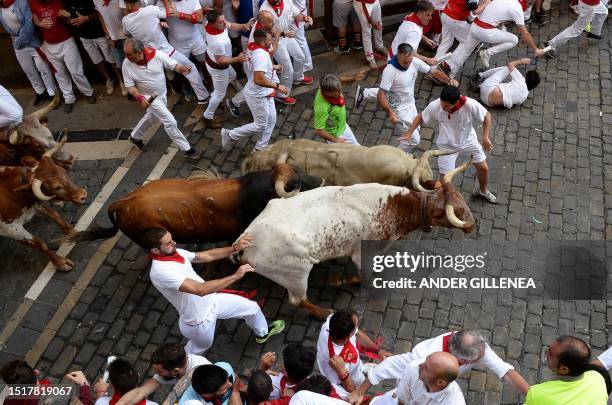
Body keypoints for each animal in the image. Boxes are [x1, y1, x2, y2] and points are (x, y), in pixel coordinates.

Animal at [0, 139, 87, 272]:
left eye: (63, 172)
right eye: (56, 187)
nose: (82, 195)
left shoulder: (34, 205)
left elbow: (55, 216)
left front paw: (74, 233)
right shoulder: (11, 229)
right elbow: (41, 245)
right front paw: (60, 262)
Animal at [237, 156, 476, 318]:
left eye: (461, 199)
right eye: (457, 210)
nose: (471, 226)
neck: (396, 206)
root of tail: (247, 239)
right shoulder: (364, 253)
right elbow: (363, 276)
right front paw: (340, 280)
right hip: (295, 274)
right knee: (299, 300)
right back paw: (324, 312)